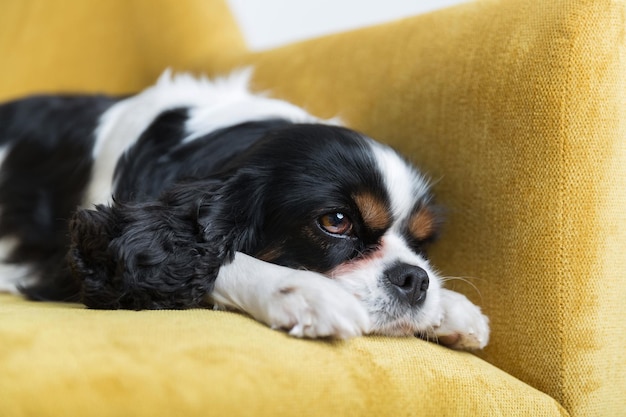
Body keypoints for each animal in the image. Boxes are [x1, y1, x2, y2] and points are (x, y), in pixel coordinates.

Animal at [0, 70, 488, 348]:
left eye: (422, 242)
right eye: (336, 221)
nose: (414, 279)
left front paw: (451, 306)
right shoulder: (89, 259)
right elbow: (209, 261)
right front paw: (302, 290)